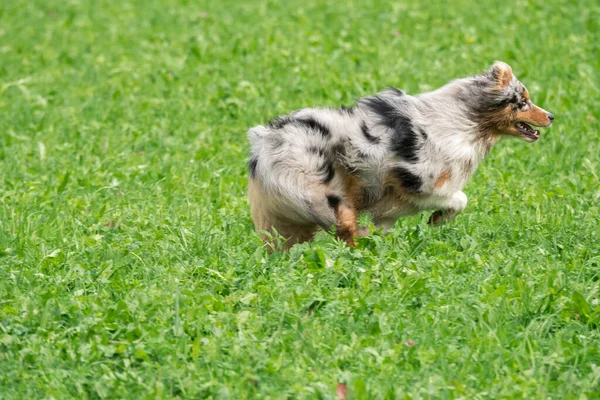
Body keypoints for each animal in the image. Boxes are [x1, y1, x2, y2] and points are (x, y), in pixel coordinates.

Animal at [246, 61, 556, 250]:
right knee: (345, 229)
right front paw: (438, 218)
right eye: (523, 102)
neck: (465, 120)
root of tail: (265, 141)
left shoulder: (391, 205)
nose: (552, 116)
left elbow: (386, 224)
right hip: (326, 193)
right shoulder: (418, 183)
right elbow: (460, 198)